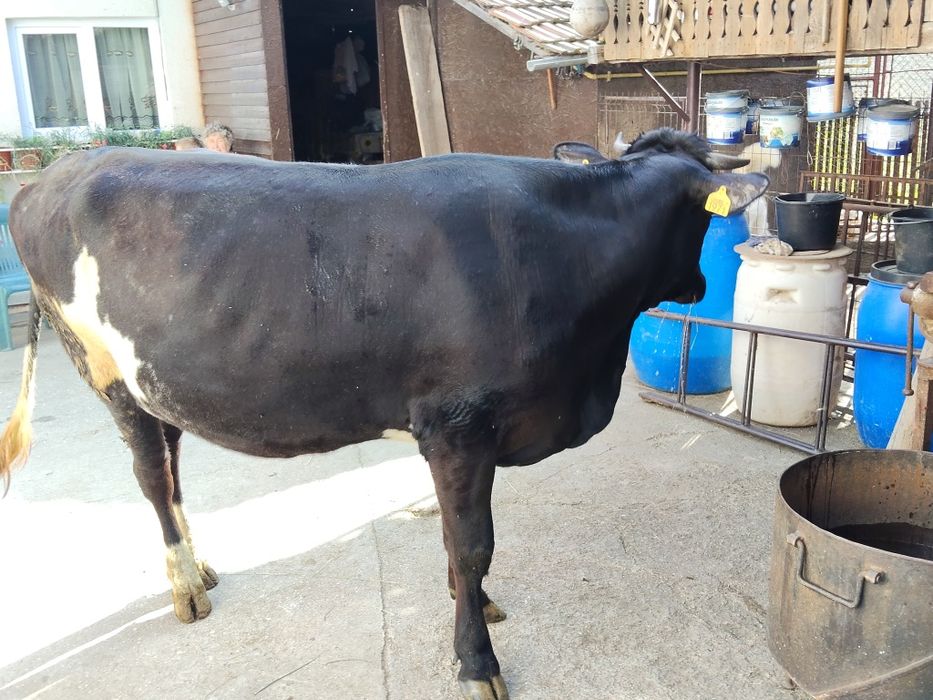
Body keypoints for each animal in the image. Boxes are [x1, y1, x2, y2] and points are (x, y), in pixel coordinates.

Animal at [0, 129, 767, 700]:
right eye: (710, 218)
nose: (702, 283)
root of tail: (59, 171)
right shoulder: (458, 427)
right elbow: (473, 543)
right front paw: (477, 661)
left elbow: (458, 546)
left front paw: (473, 602)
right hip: (101, 366)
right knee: (152, 474)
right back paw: (186, 585)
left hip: (155, 379)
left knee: (170, 457)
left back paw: (200, 566)